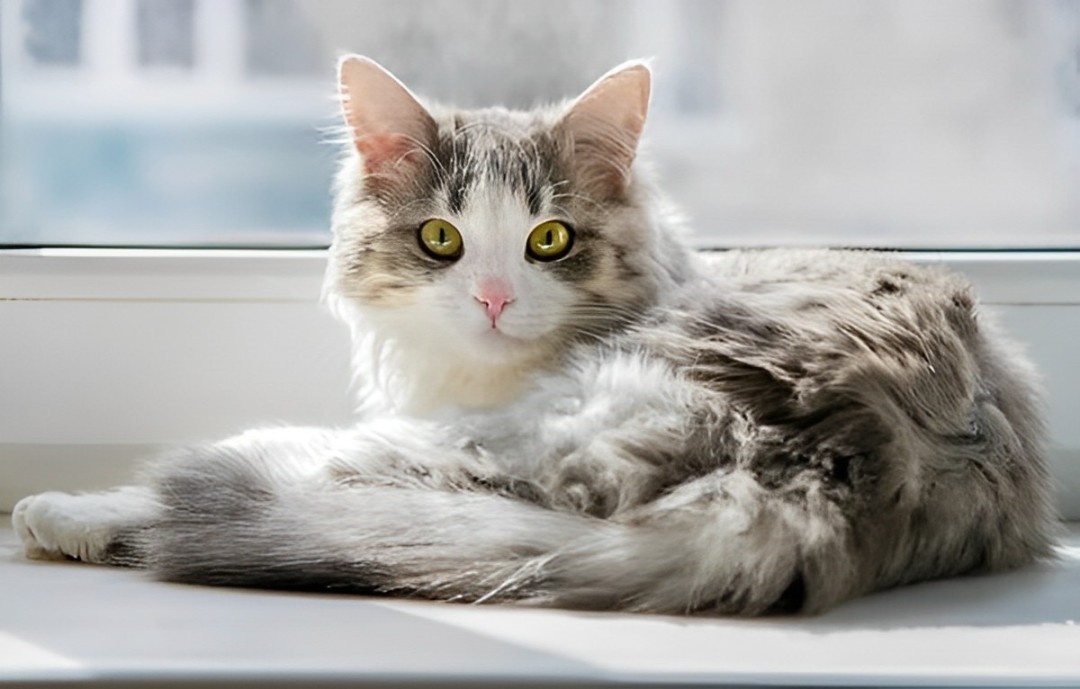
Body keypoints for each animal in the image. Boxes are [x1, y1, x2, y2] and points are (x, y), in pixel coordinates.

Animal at [10, 58, 1054, 613]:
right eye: (441, 238)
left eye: (549, 239)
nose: (494, 298)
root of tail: (841, 461)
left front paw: (74, 509)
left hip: (522, 435)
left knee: (299, 472)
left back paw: (79, 512)